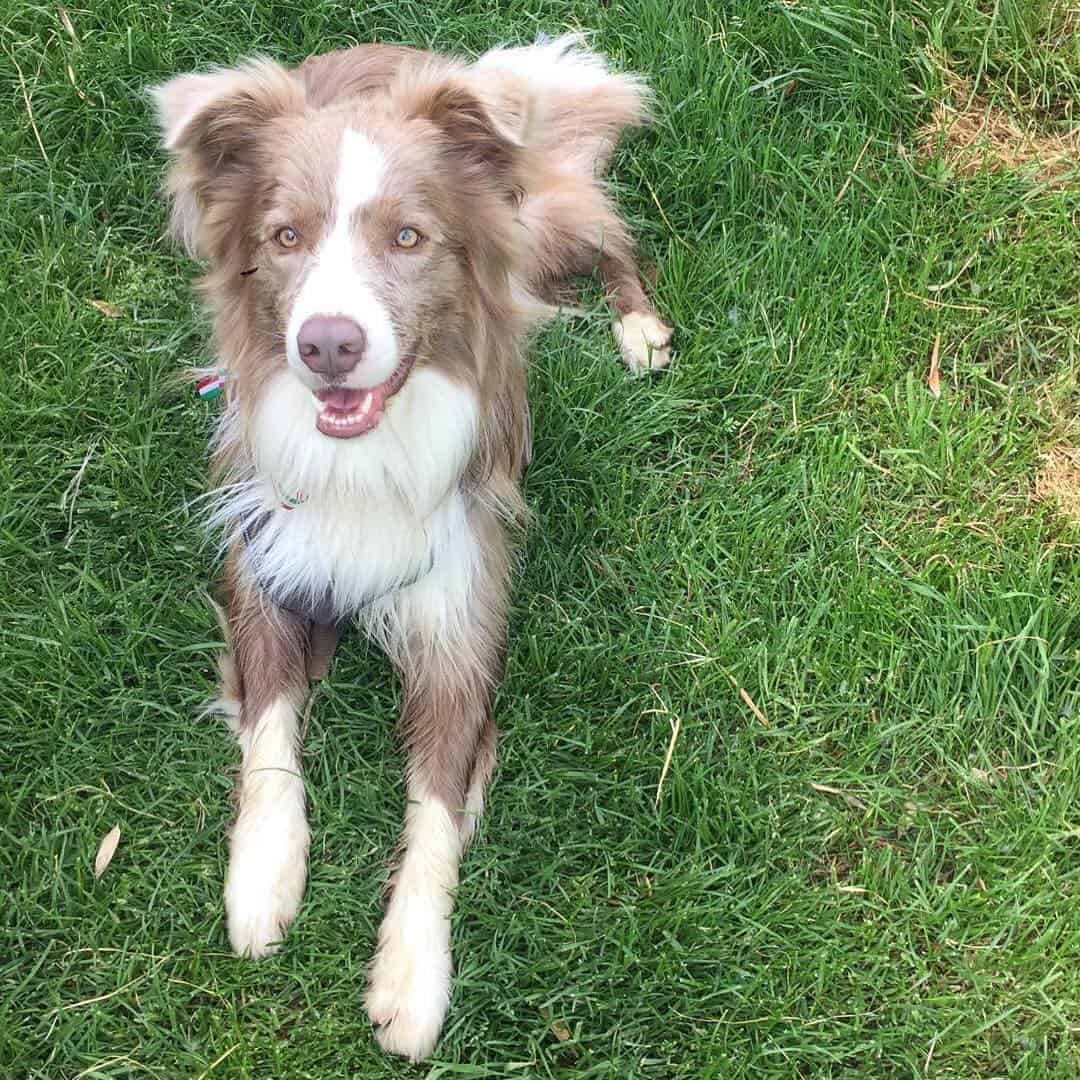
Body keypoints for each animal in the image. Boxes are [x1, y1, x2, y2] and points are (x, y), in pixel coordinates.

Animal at [150, 35, 673, 1062]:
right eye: (285, 238)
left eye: (407, 239)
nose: (327, 345)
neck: (368, 452)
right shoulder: (266, 564)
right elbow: (270, 731)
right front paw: (262, 878)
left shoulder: (460, 626)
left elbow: (433, 817)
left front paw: (412, 977)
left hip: (541, 222)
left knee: (611, 238)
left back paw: (639, 329)